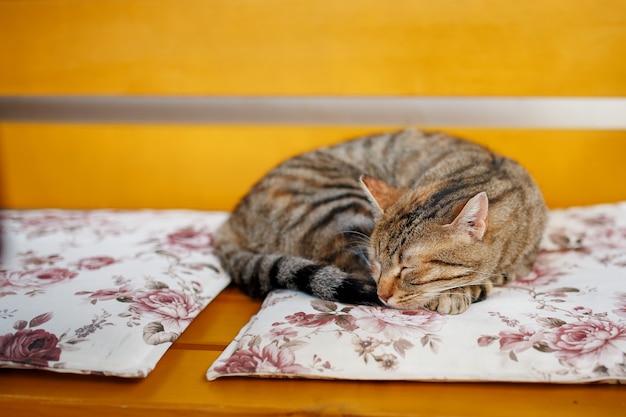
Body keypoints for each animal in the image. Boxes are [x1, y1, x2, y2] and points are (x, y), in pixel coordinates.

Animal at [216, 128, 544, 314]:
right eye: (376, 261)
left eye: (408, 268)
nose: (382, 295)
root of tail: (233, 220)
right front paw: (458, 293)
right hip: (338, 206)